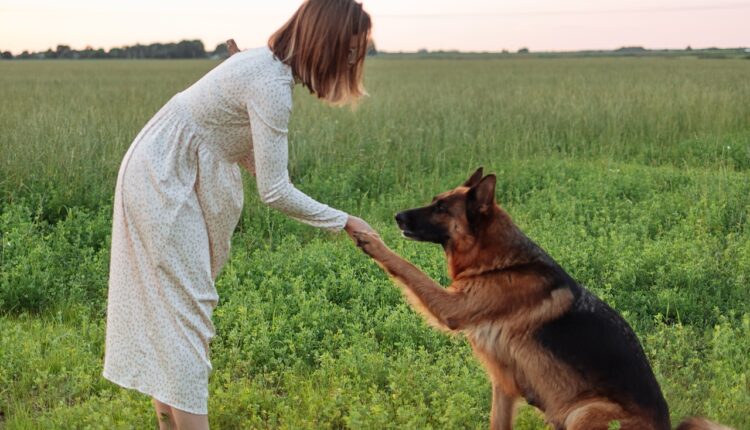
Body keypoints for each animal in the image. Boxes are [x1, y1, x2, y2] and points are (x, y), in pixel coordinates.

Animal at [354, 168, 736, 430]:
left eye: (441, 209)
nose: (397, 217)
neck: (498, 262)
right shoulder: (504, 385)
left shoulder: (454, 307)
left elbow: (408, 268)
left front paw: (370, 239)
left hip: (584, 412)